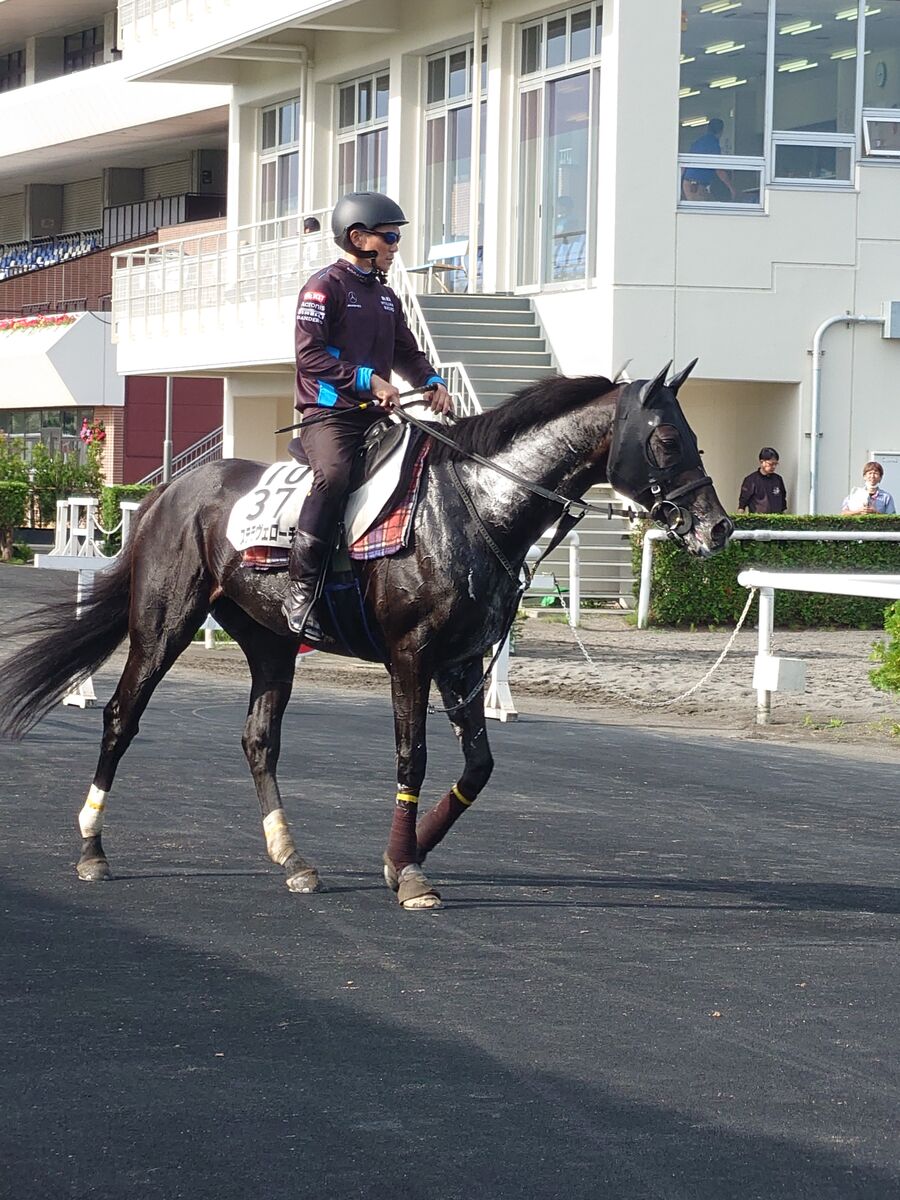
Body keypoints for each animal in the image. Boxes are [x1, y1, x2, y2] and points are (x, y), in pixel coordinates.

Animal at [0, 364, 734, 907]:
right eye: (667, 439)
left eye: (695, 435)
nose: (718, 526)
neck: (475, 506)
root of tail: (168, 493)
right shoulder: (411, 658)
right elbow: (413, 758)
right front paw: (407, 870)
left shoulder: (463, 663)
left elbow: (479, 767)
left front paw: (410, 850)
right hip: (162, 627)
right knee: (121, 718)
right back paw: (92, 848)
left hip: (271, 643)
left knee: (258, 741)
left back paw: (292, 858)